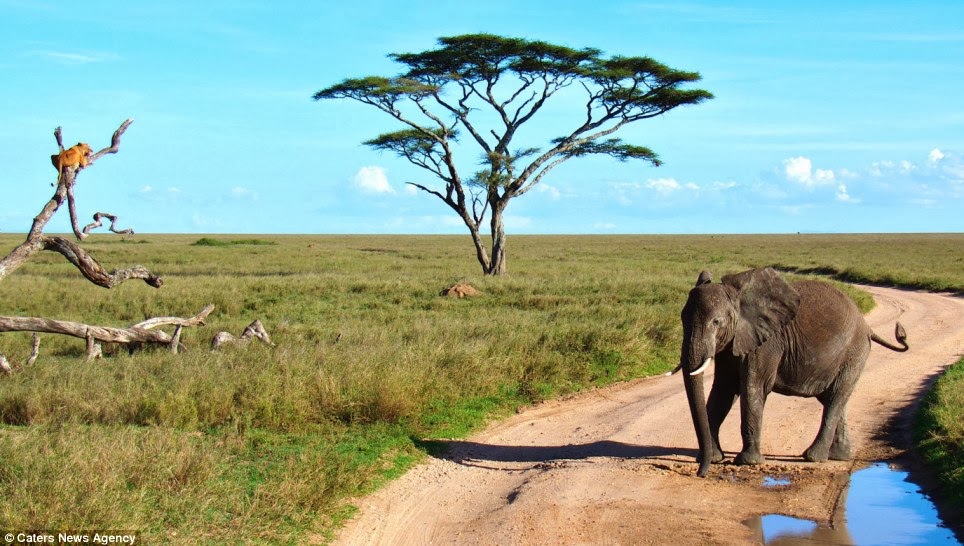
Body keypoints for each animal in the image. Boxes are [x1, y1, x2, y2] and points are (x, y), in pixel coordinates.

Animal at [676, 268, 908, 476]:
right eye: (682, 318)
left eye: (716, 322)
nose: (700, 473)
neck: (738, 297)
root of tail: (868, 327)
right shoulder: (732, 343)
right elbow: (723, 390)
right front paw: (715, 458)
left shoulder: (767, 342)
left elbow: (753, 388)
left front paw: (748, 462)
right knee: (833, 399)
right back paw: (838, 456)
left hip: (854, 353)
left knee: (835, 397)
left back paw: (813, 457)